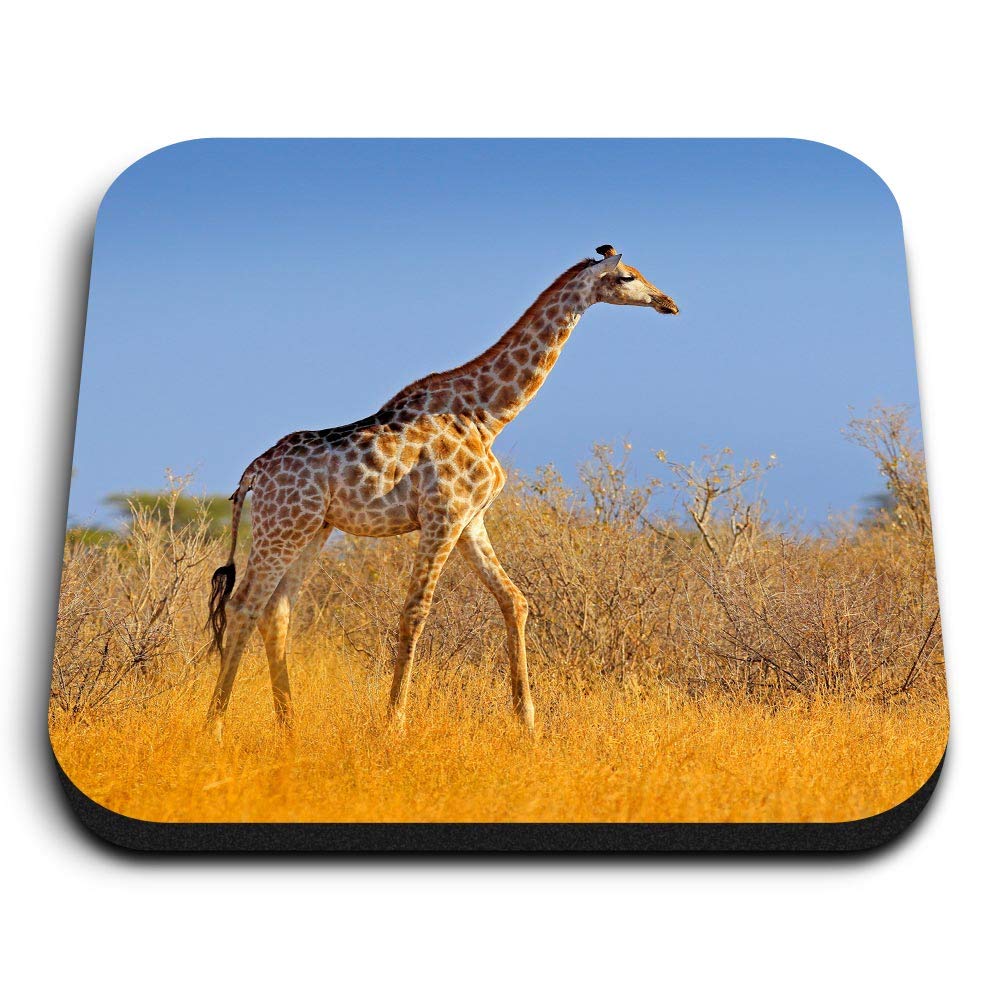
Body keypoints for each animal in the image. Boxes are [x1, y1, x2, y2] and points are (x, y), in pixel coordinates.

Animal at [207, 245, 679, 734]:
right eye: (627, 277)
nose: (668, 303)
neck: (488, 416)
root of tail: (253, 473)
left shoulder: (471, 519)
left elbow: (515, 601)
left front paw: (527, 721)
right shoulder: (443, 516)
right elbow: (415, 612)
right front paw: (394, 723)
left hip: (313, 528)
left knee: (276, 610)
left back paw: (289, 726)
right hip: (282, 526)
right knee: (244, 605)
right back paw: (215, 725)